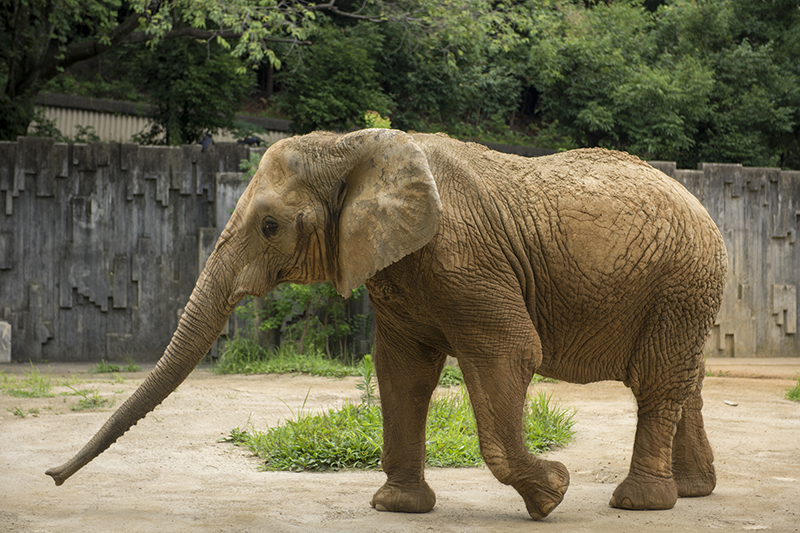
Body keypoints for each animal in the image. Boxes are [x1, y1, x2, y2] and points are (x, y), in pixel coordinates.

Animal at [48, 129, 724, 520]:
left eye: (269, 226)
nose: (52, 476)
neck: (351, 146)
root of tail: (705, 207)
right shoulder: (398, 266)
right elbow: (402, 367)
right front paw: (397, 508)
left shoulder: (461, 255)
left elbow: (508, 352)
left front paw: (552, 494)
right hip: (682, 289)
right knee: (682, 380)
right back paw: (692, 493)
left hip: (680, 282)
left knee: (657, 379)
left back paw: (639, 503)